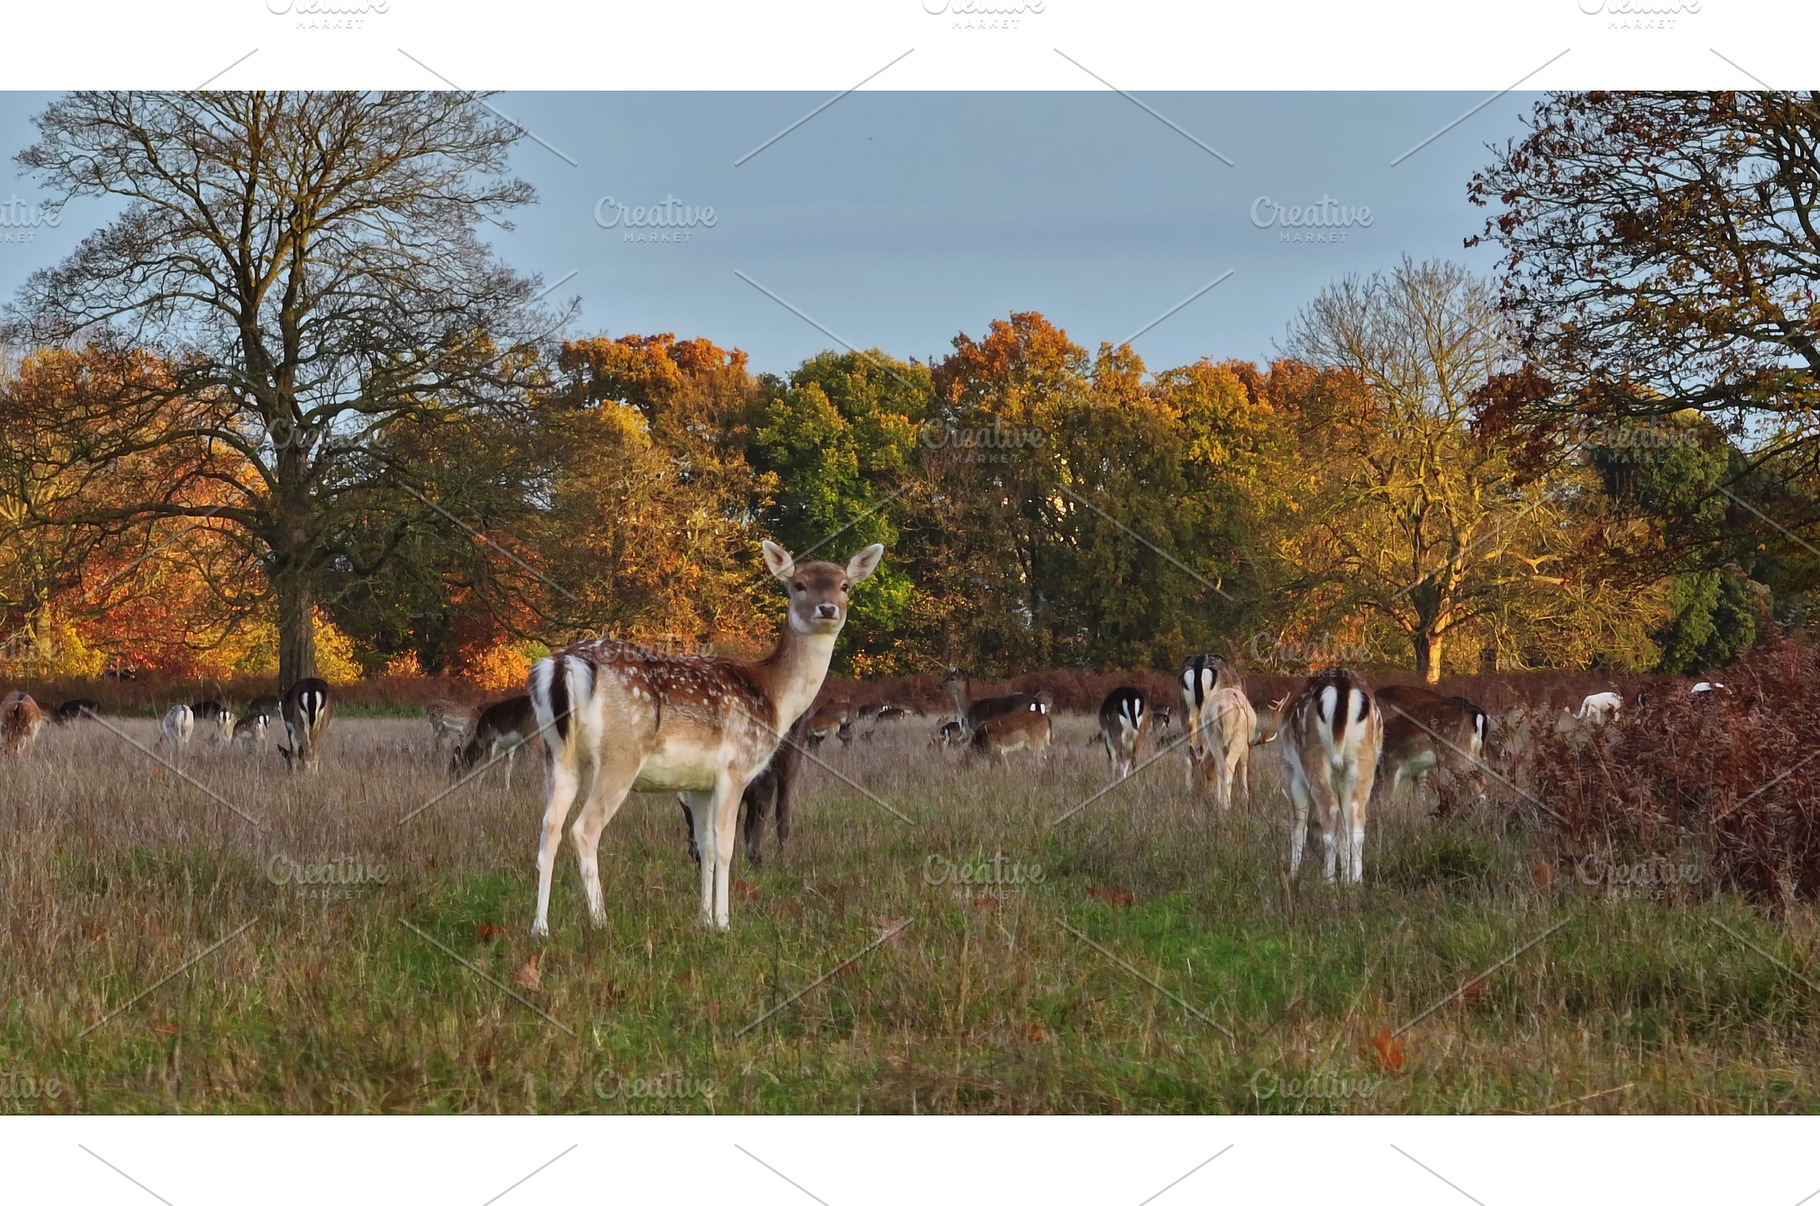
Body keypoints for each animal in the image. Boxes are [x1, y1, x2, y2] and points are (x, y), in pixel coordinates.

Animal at [528, 540, 884, 936]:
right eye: (799, 585)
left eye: (844, 585)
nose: (827, 608)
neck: (774, 697)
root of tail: (562, 665)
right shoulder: (736, 767)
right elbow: (726, 845)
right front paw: (724, 923)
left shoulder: (698, 783)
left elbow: (705, 846)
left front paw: (704, 919)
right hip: (621, 753)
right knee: (584, 830)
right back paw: (601, 921)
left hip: (556, 753)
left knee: (549, 829)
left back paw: (540, 928)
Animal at [1276, 668, 1383, 884]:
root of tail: (1343, 686)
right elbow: (1344, 829)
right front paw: (1346, 878)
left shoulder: (1292, 774)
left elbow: (1298, 826)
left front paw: (1293, 875)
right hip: (1364, 759)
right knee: (1356, 817)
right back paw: (1356, 881)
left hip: (1314, 757)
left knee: (1330, 810)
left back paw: (1328, 880)